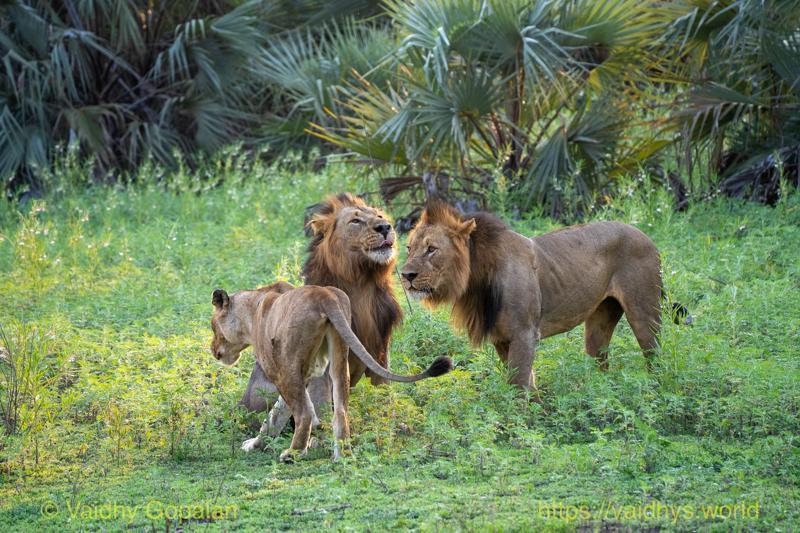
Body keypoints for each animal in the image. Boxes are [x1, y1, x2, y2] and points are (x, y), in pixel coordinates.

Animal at [210, 283, 451, 462]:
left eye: (213, 326)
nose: (213, 350)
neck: (252, 311)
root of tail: (324, 295)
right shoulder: (308, 372)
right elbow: (277, 414)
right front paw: (255, 445)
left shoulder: (278, 369)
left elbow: (283, 412)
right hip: (339, 354)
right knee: (341, 410)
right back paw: (342, 455)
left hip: (288, 366)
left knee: (304, 414)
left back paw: (293, 453)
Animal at [238, 193, 403, 416]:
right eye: (355, 221)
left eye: (380, 216)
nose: (385, 227)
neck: (362, 284)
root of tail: (242, 403)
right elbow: (321, 402)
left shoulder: (380, 348)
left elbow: (384, 388)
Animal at [400, 202, 670, 390]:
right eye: (409, 248)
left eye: (432, 249)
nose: (405, 275)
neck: (476, 279)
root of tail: (647, 236)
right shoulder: (501, 338)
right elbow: (522, 381)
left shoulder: (525, 333)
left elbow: (519, 385)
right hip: (599, 323)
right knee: (602, 363)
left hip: (644, 315)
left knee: (655, 357)